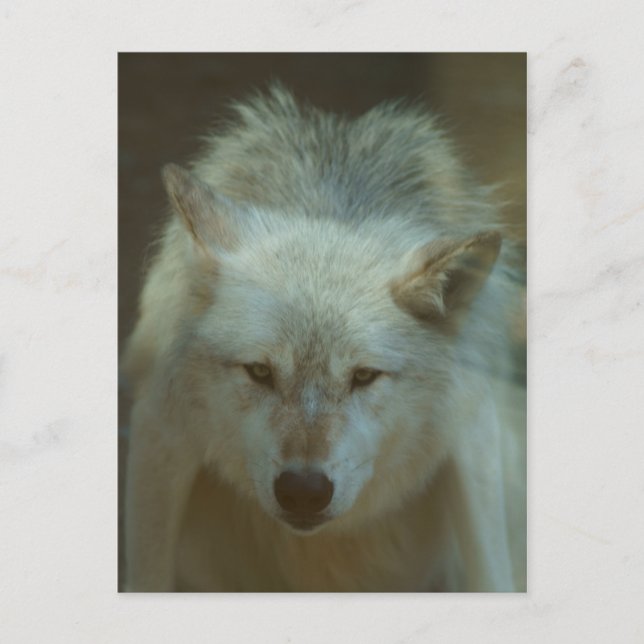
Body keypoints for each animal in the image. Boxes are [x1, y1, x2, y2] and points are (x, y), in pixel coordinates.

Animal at [123, 86, 526, 592]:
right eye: (260, 371)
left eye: (364, 376)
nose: (303, 492)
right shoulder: (161, 431)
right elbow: (147, 576)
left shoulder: (474, 434)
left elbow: (493, 576)